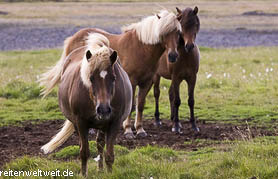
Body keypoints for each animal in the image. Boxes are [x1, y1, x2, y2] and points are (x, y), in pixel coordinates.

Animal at [39, 9, 182, 138]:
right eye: (164, 33)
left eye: (178, 33)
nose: (173, 56)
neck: (141, 49)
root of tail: (73, 38)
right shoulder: (132, 82)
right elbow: (131, 106)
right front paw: (128, 130)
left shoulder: (147, 82)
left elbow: (140, 105)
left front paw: (140, 130)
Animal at [40, 32, 134, 176]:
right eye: (91, 78)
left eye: (113, 78)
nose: (103, 110)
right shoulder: (81, 123)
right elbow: (84, 152)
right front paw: (83, 174)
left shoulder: (115, 123)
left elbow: (109, 154)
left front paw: (109, 173)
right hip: (77, 124)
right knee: (84, 145)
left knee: (100, 143)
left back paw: (100, 169)